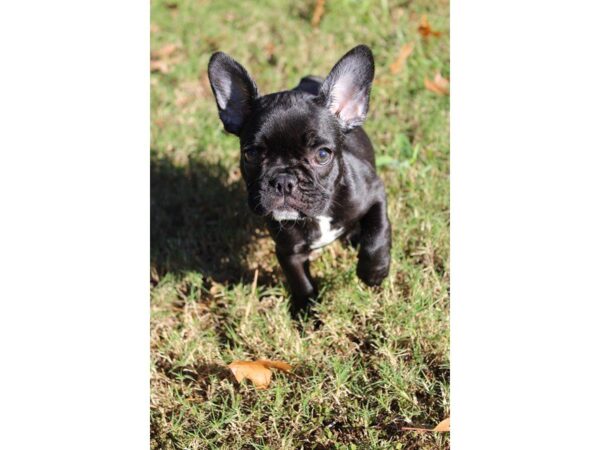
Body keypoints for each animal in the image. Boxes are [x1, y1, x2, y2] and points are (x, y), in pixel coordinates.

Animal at [209, 44, 392, 314]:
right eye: (251, 154)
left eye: (323, 155)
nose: (284, 180)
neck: (317, 216)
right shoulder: (289, 252)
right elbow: (300, 281)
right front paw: (306, 312)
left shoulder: (374, 192)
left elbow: (378, 232)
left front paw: (373, 272)